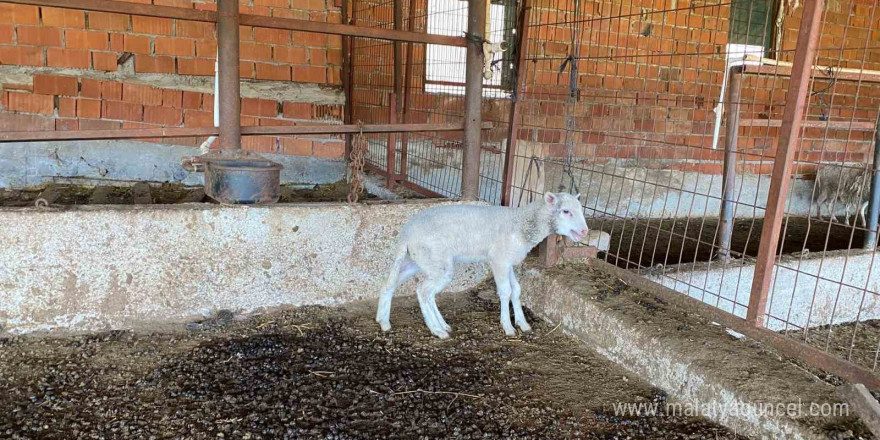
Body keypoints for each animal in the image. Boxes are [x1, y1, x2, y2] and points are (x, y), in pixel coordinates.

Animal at [372, 191, 588, 338]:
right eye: (566, 211)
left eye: (580, 209)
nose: (585, 231)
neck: (520, 224)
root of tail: (406, 234)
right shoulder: (499, 260)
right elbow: (505, 292)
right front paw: (508, 326)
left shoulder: (508, 262)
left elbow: (517, 290)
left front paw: (523, 323)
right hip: (436, 261)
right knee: (423, 291)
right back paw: (436, 329)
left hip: (417, 260)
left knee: (391, 284)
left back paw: (385, 322)